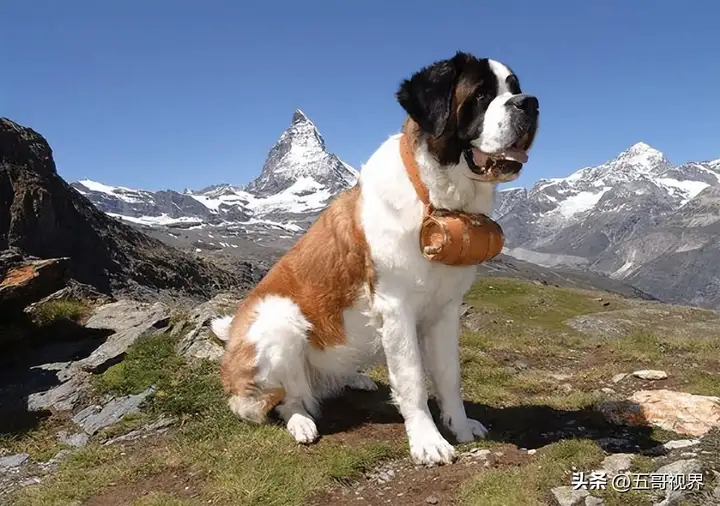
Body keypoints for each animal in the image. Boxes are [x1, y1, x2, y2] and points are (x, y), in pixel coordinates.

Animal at [214, 51, 540, 466]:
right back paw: (301, 421)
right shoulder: (396, 306)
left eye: (514, 88)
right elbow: (413, 378)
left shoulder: (447, 309)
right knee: (282, 400)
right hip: (279, 320)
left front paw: (461, 425)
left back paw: (355, 378)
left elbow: (449, 375)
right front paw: (428, 441)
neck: (435, 197)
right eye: (481, 94)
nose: (530, 103)